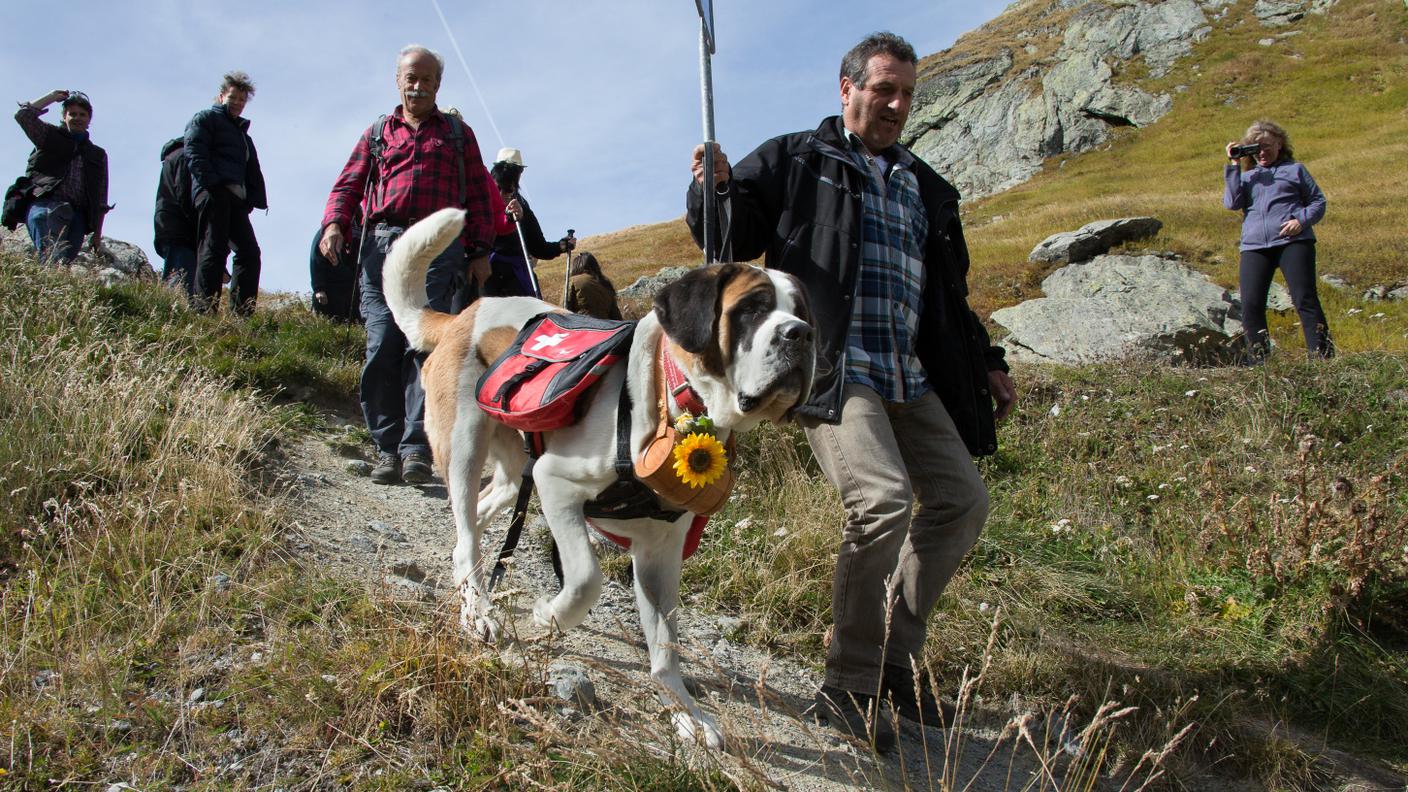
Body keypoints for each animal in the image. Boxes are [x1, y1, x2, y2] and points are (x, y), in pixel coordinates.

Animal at [380, 207, 822, 744]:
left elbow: (665, 646)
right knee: (466, 530)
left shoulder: (659, 554)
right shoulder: (556, 484)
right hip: (467, 443)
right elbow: (586, 579)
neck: (676, 400)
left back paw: (473, 590)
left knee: (477, 521)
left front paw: (686, 715)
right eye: (753, 309)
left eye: (802, 311)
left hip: (515, 470)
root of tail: (464, 314)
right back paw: (479, 613)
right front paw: (549, 616)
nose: (800, 334)